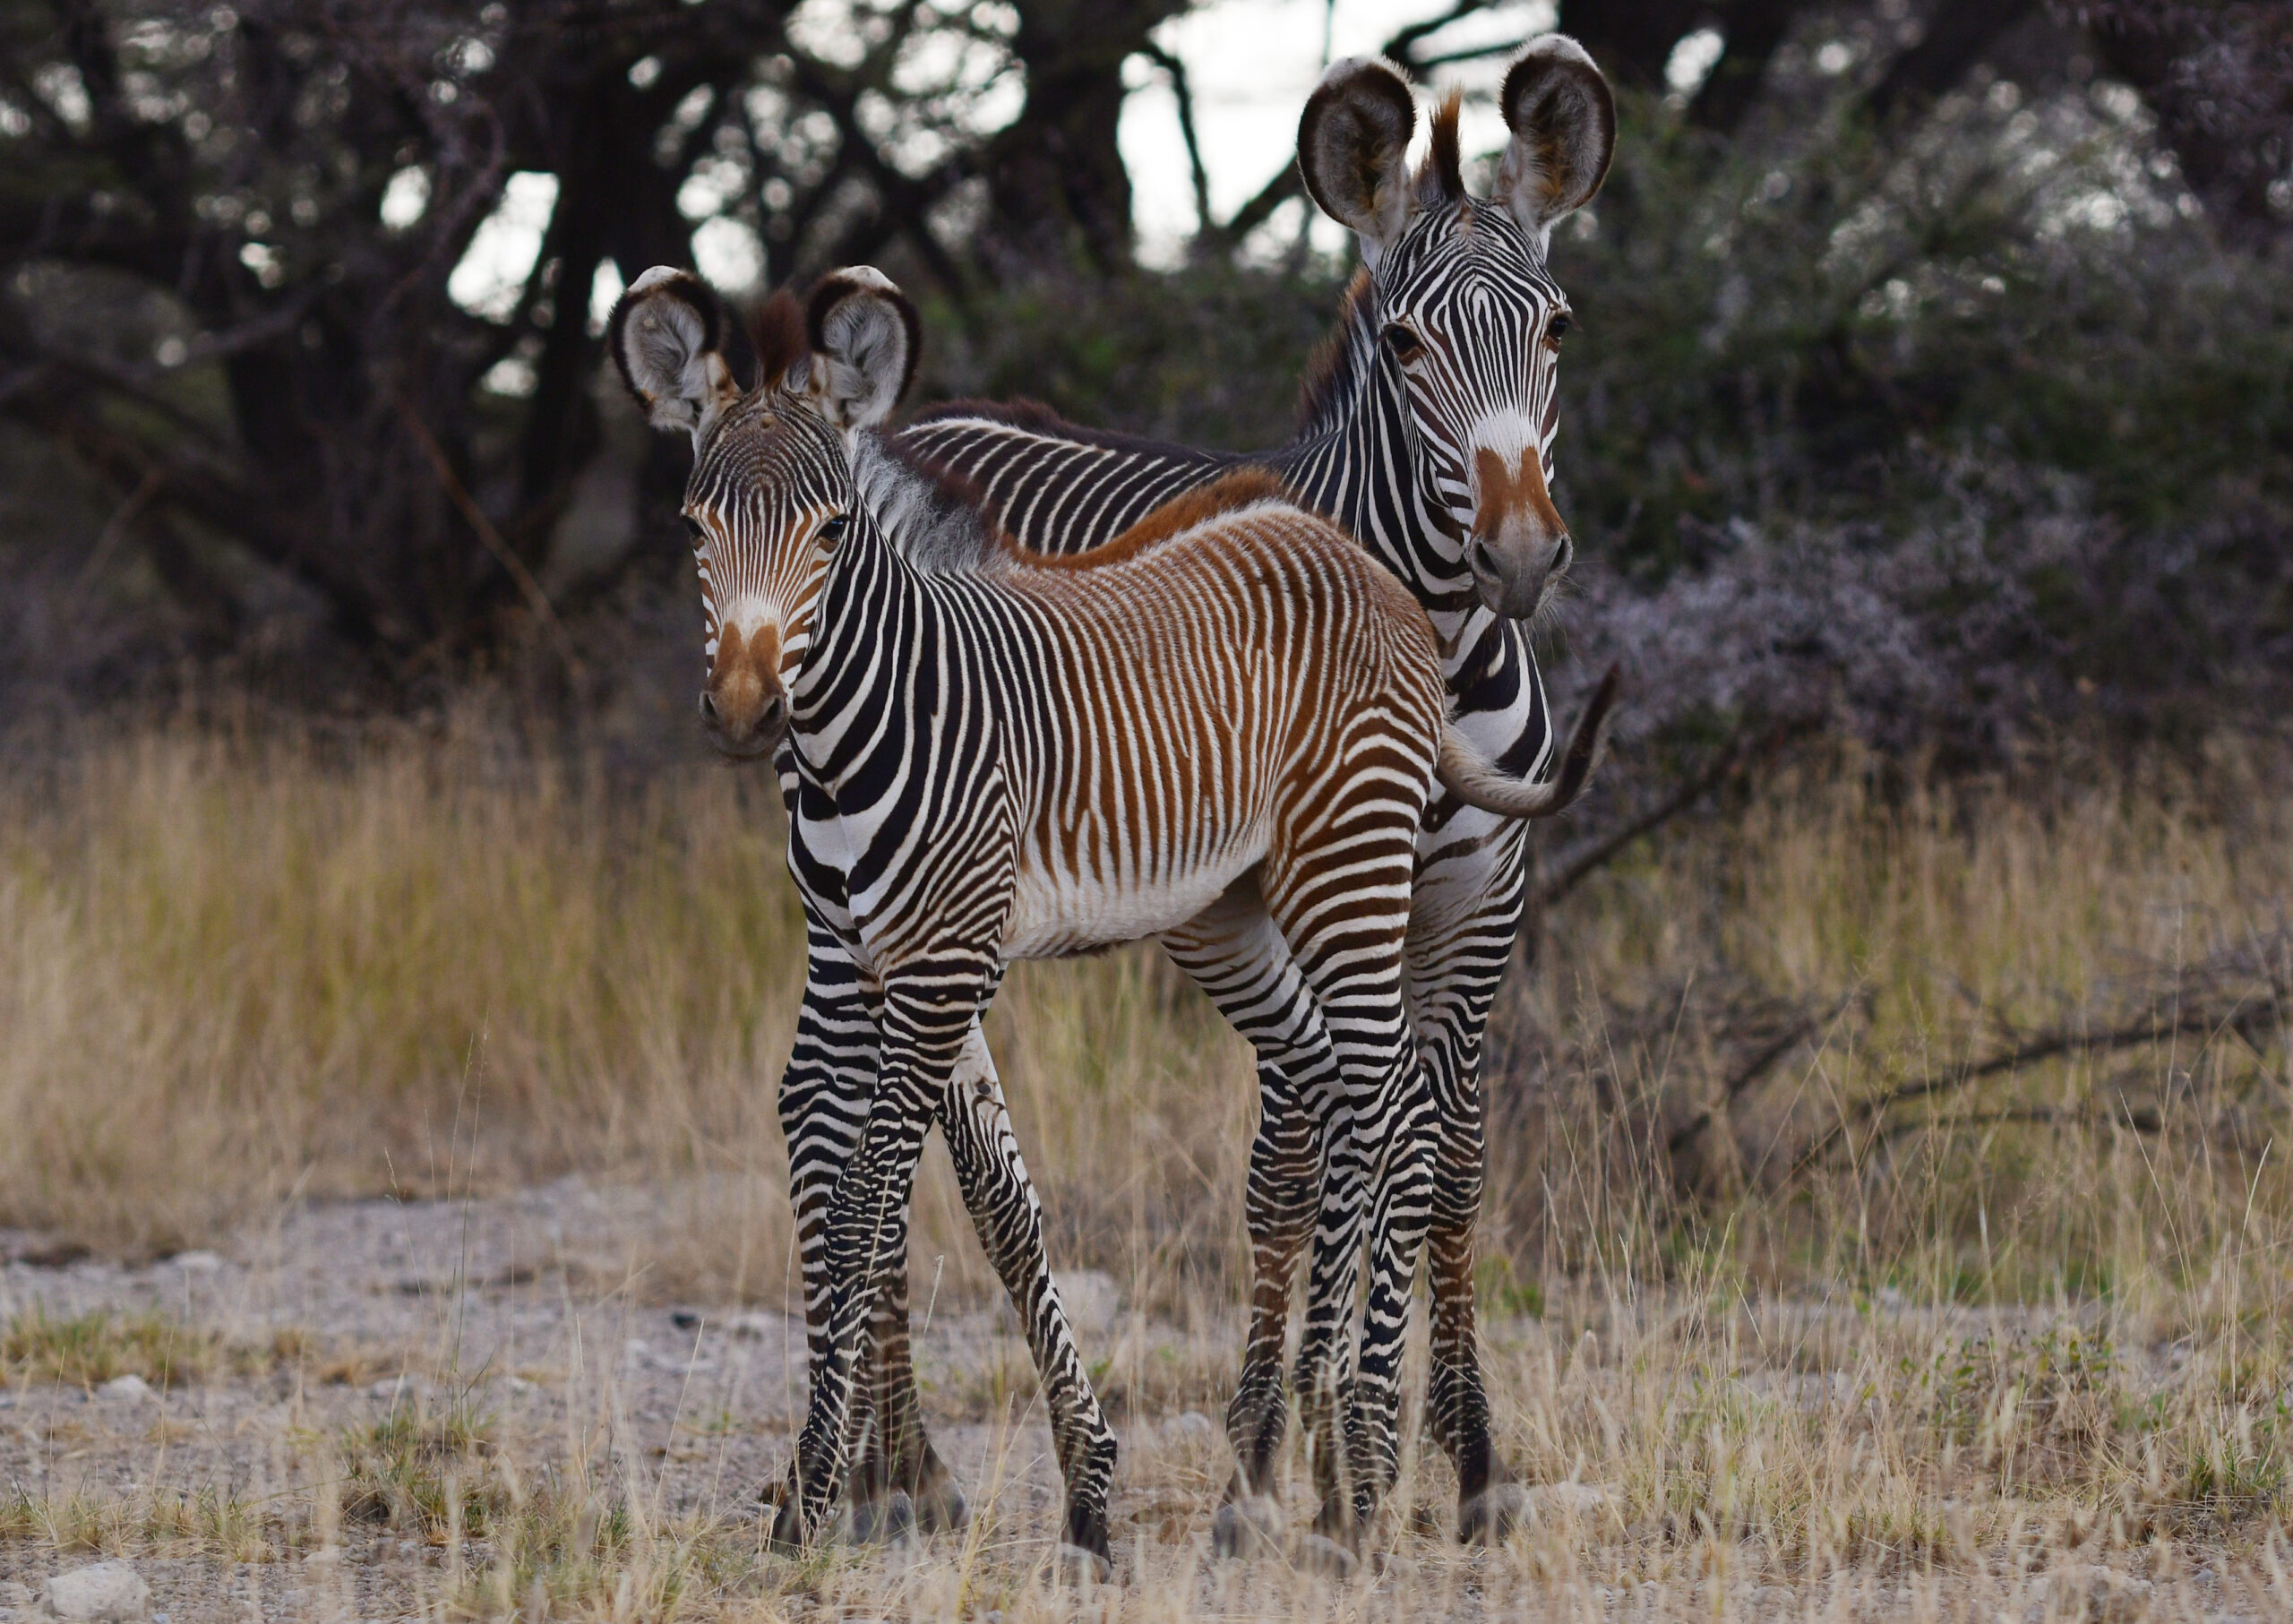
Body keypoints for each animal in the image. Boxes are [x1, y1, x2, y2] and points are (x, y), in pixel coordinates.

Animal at [609, 260, 1614, 1568]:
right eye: (693, 529)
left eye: (831, 532)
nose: (742, 710)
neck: (885, 712)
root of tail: (1369, 567)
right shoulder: (873, 956)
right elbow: (911, 1176)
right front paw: (1028, 1485)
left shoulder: (939, 963)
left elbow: (876, 1194)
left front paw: (829, 1488)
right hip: (1235, 910)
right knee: (1342, 1089)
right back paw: (1317, 1462)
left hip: (1349, 865)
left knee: (1396, 1097)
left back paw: (1364, 1475)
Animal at [866, 38, 1623, 1541]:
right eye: (1405, 345)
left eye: (1559, 330)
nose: (1519, 554)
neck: (1437, 642)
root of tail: (950, 416)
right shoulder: (1280, 905)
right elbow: (1304, 1158)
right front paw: (1293, 1445)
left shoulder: (1482, 905)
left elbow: (1444, 1161)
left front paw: (1455, 1452)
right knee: (955, 1144)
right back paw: (915, 1467)